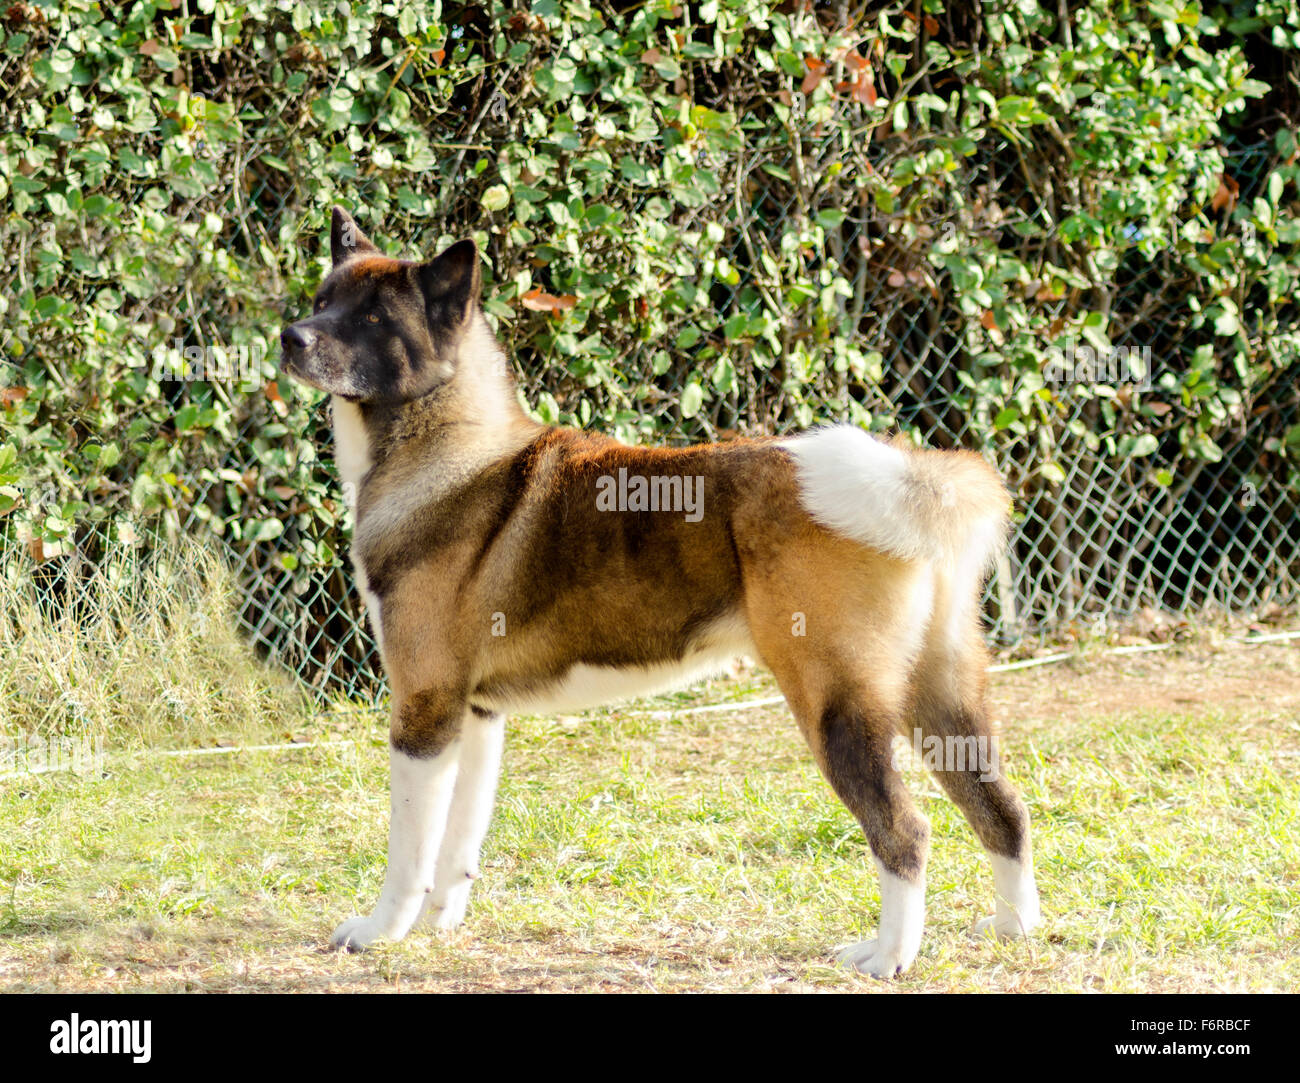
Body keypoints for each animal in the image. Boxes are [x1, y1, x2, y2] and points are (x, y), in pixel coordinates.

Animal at [279, 206, 1040, 977]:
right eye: (322, 299)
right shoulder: (478, 713)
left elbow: (410, 851)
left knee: (905, 830)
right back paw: (1013, 927)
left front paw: (381, 931)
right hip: (942, 694)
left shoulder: (425, 710)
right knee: (1002, 809)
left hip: (838, 706)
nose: (291, 336)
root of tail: (911, 479)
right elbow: (457, 846)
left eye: (374, 317)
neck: (452, 445)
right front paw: (440, 927)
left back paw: (887, 956)